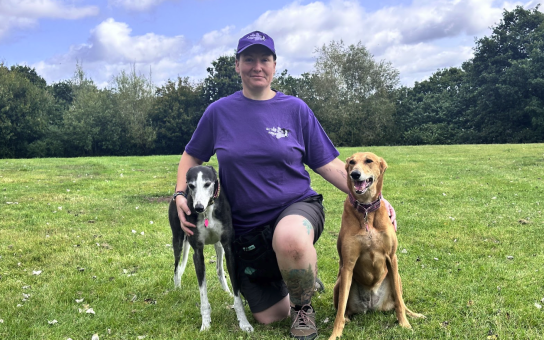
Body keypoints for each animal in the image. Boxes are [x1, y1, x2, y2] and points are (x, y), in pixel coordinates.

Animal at [168, 166, 253, 334]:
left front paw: (244, 323)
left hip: (219, 246)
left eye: (207, 184)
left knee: (219, 269)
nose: (198, 208)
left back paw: (226, 291)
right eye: (191, 185)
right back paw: (177, 288)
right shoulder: (198, 253)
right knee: (176, 267)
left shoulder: (229, 248)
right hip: (178, 241)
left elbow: (237, 293)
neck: (208, 210)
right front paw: (206, 324)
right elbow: (203, 294)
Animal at [330, 153, 422, 338]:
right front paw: (335, 334)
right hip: (338, 283)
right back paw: (347, 319)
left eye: (368, 160)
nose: (355, 174)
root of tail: (372, 306)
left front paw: (404, 324)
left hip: (397, 278)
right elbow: (340, 309)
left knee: (400, 301)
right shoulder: (348, 265)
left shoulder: (392, 258)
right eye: (352, 162)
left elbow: (400, 302)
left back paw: (413, 314)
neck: (366, 210)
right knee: (343, 308)